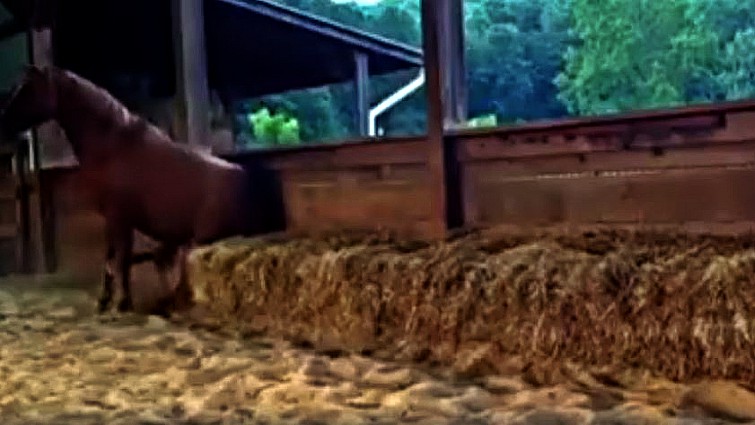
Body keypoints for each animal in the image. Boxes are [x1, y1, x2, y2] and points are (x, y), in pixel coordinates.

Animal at [0, 65, 257, 314]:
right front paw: (105, 301)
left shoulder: (120, 218)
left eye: (28, 89)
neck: (115, 147)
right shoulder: (112, 219)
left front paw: (123, 303)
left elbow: (121, 259)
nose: (3, 123)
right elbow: (110, 257)